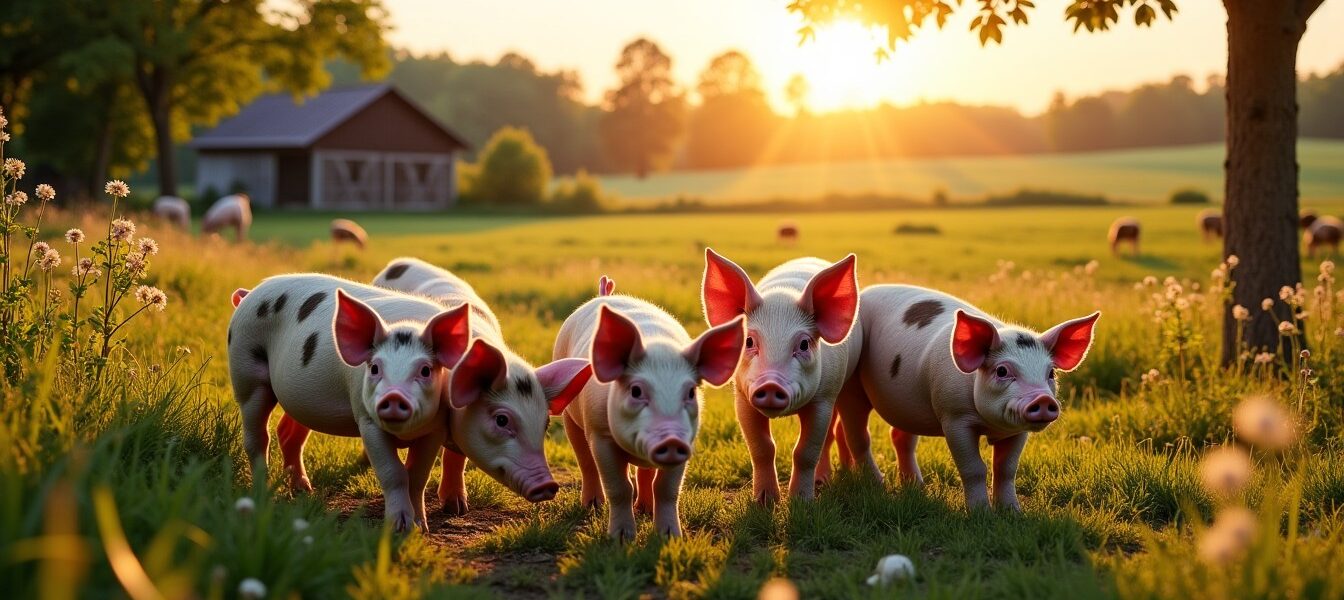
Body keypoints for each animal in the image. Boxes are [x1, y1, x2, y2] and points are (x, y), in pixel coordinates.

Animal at [228, 274, 471, 531]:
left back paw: (304, 490)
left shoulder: (435, 428)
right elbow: (393, 473)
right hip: (246, 371)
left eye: (425, 370)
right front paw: (398, 528)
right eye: (374, 368)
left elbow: (417, 476)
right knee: (257, 436)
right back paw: (263, 492)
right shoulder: (366, 419)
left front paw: (420, 528)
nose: (393, 396)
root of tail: (250, 294)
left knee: (287, 433)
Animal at [368, 257, 593, 514]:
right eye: (502, 420)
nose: (548, 485)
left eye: (545, 424)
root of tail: (400, 262)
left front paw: (457, 509)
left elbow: (456, 458)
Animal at [553, 294, 745, 539]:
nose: (671, 439)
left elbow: (666, 489)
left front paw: (671, 537)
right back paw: (593, 506)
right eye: (636, 391)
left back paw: (645, 509)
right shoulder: (600, 436)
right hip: (571, 415)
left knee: (644, 473)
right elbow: (619, 487)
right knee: (585, 459)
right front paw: (621, 538)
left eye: (691, 392)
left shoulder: (686, 443)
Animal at [701, 250, 861, 503]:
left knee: (829, 436)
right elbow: (762, 448)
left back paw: (823, 481)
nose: (770, 384)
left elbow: (806, 451)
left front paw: (802, 501)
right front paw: (765, 501)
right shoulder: (743, 399)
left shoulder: (823, 398)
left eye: (804, 344)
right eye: (749, 341)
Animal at [835, 284, 1098, 511]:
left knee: (900, 437)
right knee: (858, 435)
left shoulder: (1018, 431)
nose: (1043, 400)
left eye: (1050, 373)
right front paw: (980, 513)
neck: (990, 425)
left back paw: (917, 487)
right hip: (851, 386)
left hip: (907, 404)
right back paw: (876, 484)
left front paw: (1013, 512)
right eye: (1002, 371)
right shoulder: (954, 418)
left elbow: (1006, 469)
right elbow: (974, 468)